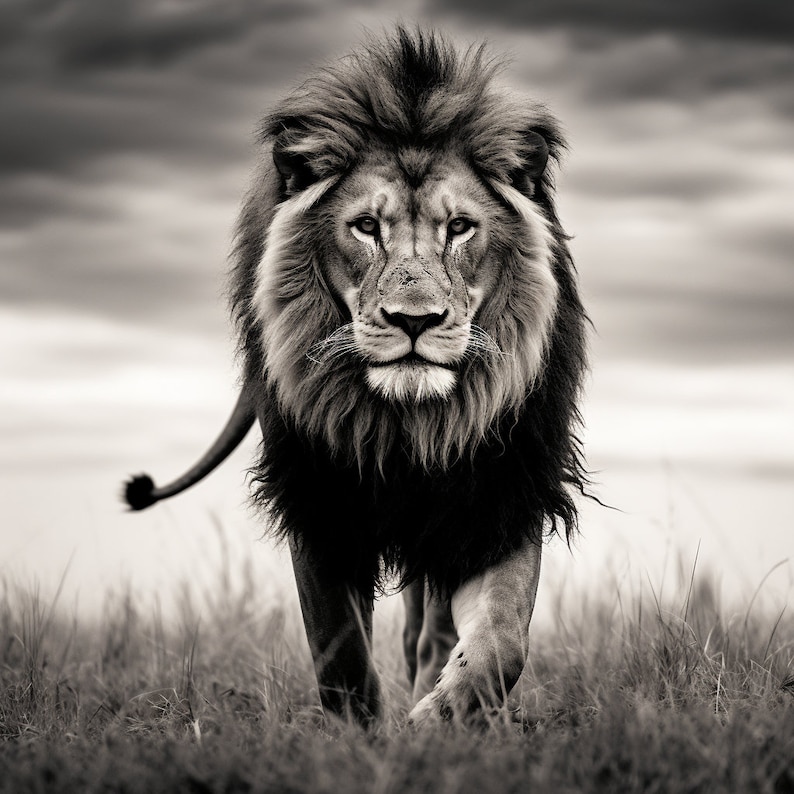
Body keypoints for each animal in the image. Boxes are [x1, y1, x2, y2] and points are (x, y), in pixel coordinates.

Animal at [124, 28, 588, 727]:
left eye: (460, 227)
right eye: (366, 227)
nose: (414, 320)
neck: (407, 425)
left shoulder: (500, 491)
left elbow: (500, 642)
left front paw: (434, 720)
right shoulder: (322, 500)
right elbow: (339, 653)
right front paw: (362, 736)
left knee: (434, 626)